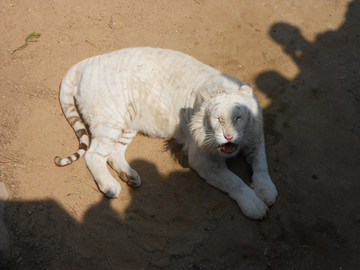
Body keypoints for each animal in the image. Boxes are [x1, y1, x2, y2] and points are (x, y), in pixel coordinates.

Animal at [54, 47, 278, 219]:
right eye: (217, 119)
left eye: (238, 117)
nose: (229, 137)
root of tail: (85, 63)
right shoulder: (202, 160)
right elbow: (234, 181)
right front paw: (254, 204)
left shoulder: (255, 138)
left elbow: (262, 163)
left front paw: (266, 190)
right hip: (110, 120)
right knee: (94, 155)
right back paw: (110, 186)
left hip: (127, 124)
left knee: (113, 153)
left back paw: (130, 176)